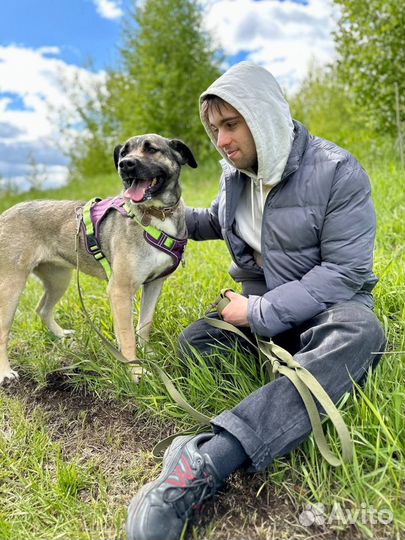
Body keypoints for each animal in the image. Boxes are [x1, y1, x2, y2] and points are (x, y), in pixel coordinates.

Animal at [0, 134, 196, 384]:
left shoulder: (154, 284)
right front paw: (135, 370)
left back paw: (61, 334)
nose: (125, 165)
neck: (157, 215)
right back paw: (5, 372)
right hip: (11, 285)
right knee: (3, 330)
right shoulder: (119, 290)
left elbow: (144, 325)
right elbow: (127, 335)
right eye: (123, 153)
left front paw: (147, 353)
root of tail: (5, 214)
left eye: (151, 149)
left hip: (58, 279)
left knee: (42, 309)